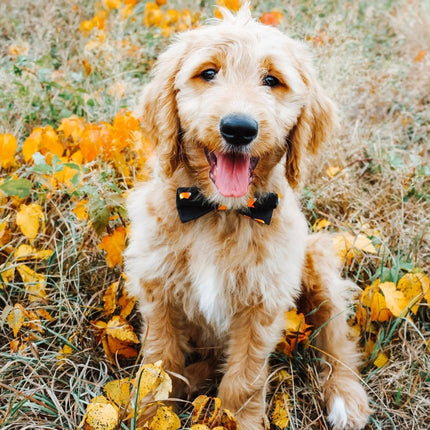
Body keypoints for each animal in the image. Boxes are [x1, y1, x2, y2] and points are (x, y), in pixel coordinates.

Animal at [124, 4, 370, 430]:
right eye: (208, 73)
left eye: (271, 81)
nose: (239, 128)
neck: (219, 212)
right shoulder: (157, 287)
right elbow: (160, 361)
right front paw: (154, 414)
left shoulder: (263, 304)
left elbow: (244, 379)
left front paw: (236, 418)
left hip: (318, 259)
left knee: (336, 336)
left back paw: (345, 395)